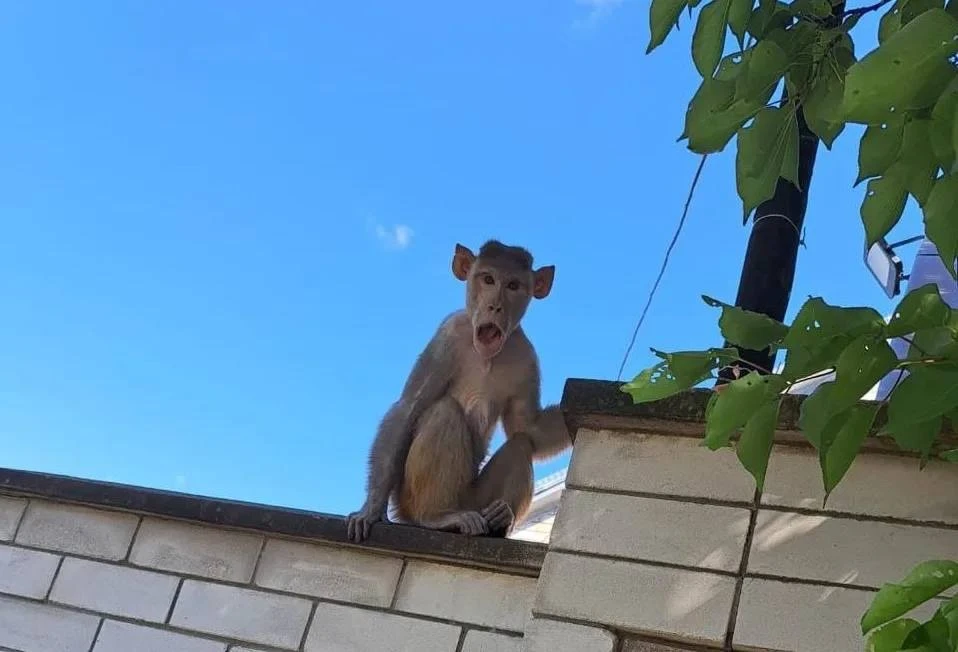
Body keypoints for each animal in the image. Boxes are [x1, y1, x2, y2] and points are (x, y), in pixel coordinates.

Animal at [345, 240, 572, 543]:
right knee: (445, 411)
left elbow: (529, 428)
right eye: (488, 279)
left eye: (513, 285)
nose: (495, 306)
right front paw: (370, 509)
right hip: (411, 496)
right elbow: (408, 408)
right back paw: (437, 517)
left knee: (520, 443)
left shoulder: (526, 357)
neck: (487, 356)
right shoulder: (448, 336)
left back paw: (499, 520)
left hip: (475, 497)